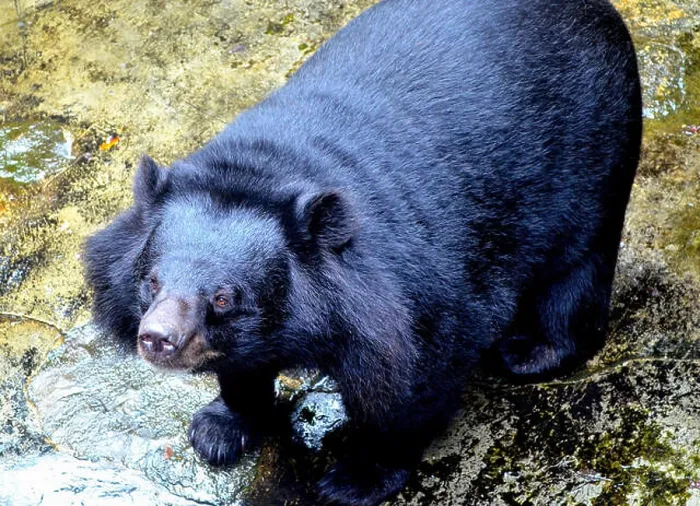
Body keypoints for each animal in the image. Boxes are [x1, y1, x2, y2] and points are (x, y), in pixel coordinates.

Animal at [84, 0, 642, 504]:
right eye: (151, 281)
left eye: (223, 297)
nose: (157, 339)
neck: (265, 172)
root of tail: (598, 10)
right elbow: (242, 371)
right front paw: (219, 430)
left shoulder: (411, 295)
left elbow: (410, 384)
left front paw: (354, 481)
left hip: (591, 161)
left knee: (575, 271)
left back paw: (528, 352)